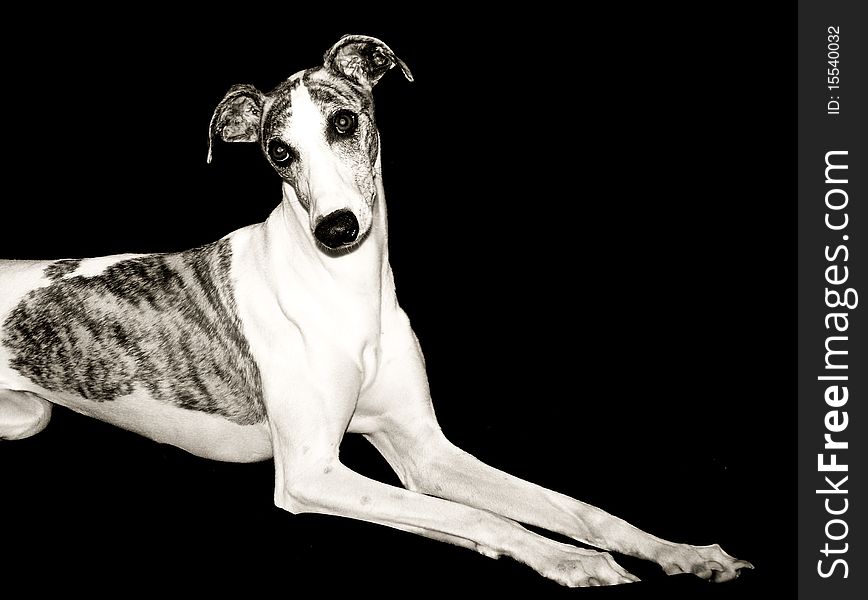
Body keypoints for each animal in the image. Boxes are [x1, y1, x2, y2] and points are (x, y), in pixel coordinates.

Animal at [0, 34, 752, 584]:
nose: (336, 228)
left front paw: (680, 551)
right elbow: (482, 519)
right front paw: (568, 559)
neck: (342, 291)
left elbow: (569, 506)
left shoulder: (421, 448)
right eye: (278, 152)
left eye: (344, 121)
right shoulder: (312, 472)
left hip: (29, 418)